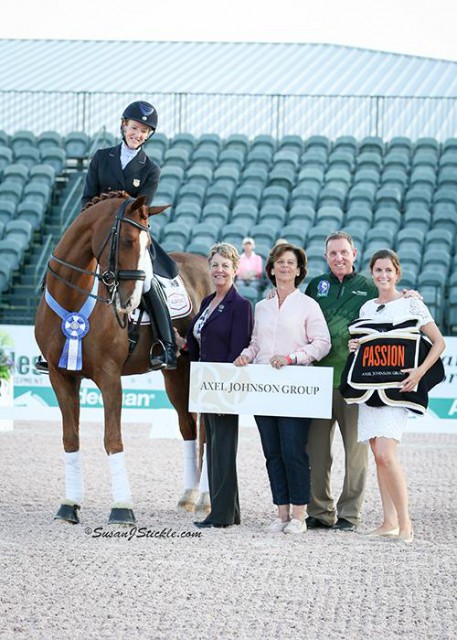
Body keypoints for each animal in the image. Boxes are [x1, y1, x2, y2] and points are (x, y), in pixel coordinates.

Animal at [34, 191, 212, 524]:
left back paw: (206, 498)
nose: (128, 303)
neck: (74, 297)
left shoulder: (109, 376)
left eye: (149, 244)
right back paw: (188, 496)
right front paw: (69, 505)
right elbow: (70, 438)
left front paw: (122, 508)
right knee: (188, 426)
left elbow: (112, 439)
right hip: (176, 373)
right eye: (128, 240)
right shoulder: (60, 376)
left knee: (208, 430)